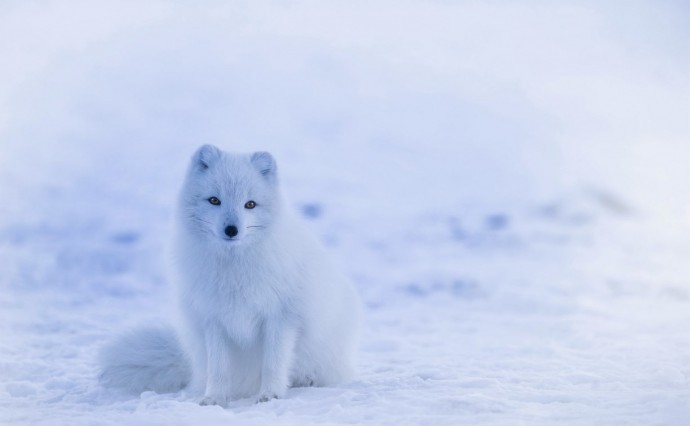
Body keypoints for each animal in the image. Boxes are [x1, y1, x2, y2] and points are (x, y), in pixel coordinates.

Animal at [101, 146, 366, 406]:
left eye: (250, 204)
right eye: (214, 200)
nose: (231, 230)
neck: (234, 268)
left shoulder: (281, 317)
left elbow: (273, 362)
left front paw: (270, 395)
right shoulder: (213, 319)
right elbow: (219, 368)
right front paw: (214, 398)